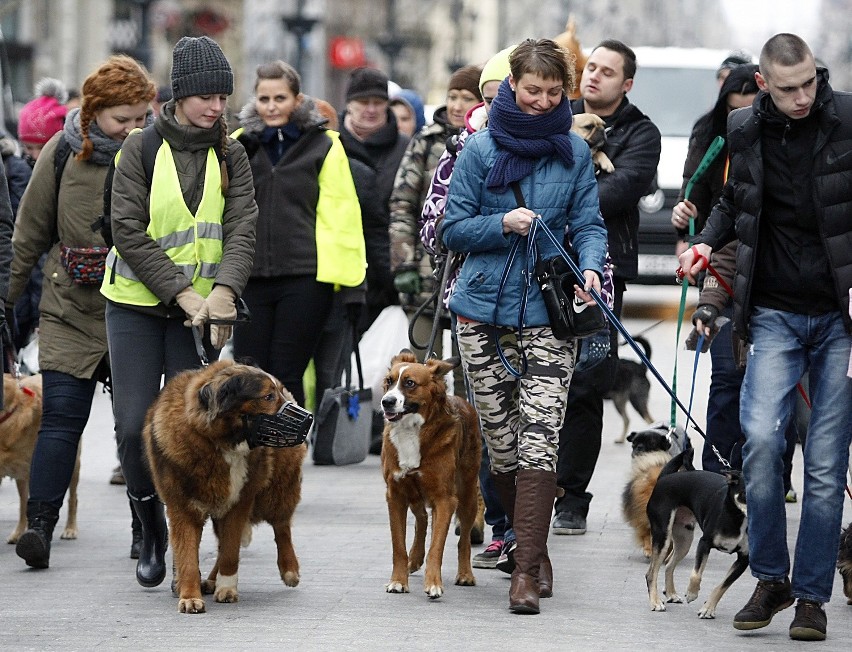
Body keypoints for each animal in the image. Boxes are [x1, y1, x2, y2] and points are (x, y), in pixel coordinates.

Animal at [0, 374, 80, 544]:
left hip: (73, 465)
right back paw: (19, 533)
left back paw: (70, 528)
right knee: (23, 505)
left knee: (73, 498)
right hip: (22, 477)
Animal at [144, 360, 306, 612]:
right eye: (268, 396)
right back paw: (211, 580)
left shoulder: (239, 501)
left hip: (277, 489)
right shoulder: (182, 507)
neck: (219, 442)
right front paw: (190, 596)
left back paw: (289, 569)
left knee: (281, 526)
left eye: (276, 393)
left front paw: (227, 588)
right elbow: (188, 557)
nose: (309, 418)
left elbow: (230, 551)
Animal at [380, 348, 480, 600]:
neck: (412, 430)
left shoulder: (445, 499)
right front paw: (398, 580)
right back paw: (414, 559)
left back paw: (465, 574)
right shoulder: (395, 494)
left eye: (410, 383)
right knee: (422, 519)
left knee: (464, 538)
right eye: (388, 382)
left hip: (467, 495)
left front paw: (433, 584)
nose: (387, 402)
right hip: (414, 492)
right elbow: (398, 545)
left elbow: (437, 546)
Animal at [644, 450, 744, 620]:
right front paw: (692, 593)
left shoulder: (744, 559)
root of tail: (665, 477)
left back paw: (671, 594)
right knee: (651, 573)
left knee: (669, 565)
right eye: (745, 493)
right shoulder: (704, 543)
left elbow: (722, 586)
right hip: (663, 535)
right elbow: (696, 574)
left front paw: (708, 609)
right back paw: (655, 602)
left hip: (685, 539)